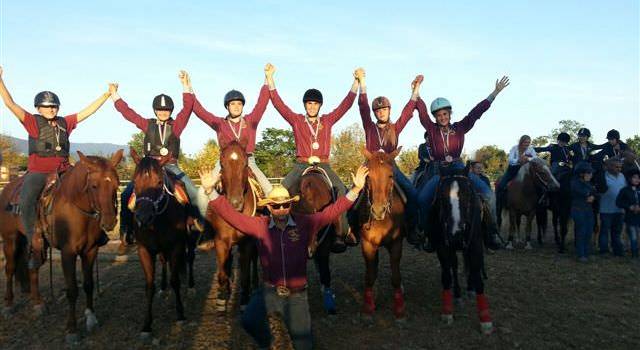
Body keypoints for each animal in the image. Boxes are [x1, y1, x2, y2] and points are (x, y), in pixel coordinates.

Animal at [0, 149, 124, 344]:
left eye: (116, 185)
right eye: (94, 186)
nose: (109, 222)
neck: (76, 207)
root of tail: (7, 188)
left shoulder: (90, 251)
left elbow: (88, 284)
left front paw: (91, 318)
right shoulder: (68, 253)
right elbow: (72, 290)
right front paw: (71, 330)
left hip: (34, 244)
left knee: (32, 268)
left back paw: (38, 304)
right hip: (10, 239)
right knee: (10, 269)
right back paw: (8, 305)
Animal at [129, 149, 190, 340]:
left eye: (158, 182)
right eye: (135, 182)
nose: (143, 218)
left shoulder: (177, 246)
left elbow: (175, 280)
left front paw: (180, 314)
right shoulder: (144, 250)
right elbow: (149, 286)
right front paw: (146, 325)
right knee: (163, 262)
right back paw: (163, 288)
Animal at [205, 141, 258, 310]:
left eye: (245, 163)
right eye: (222, 164)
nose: (235, 203)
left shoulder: (247, 243)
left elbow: (245, 274)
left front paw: (245, 300)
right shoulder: (221, 242)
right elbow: (222, 272)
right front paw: (222, 297)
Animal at [352, 149, 408, 322]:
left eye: (391, 175)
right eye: (368, 176)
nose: (378, 210)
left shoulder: (396, 244)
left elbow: (396, 277)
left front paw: (399, 310)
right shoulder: (368, 245)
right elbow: (370, 275)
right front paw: (368, 308)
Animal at [430, 167, 496, 336]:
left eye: (467, 194)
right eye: (441, 195)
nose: (456, 234)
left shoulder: (475, 246)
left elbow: (478, 277)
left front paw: (485, 321)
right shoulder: (443, 247)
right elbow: (447, 275)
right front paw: (447, 312)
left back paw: (470, 290)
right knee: (454, 267)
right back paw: (458, 295)